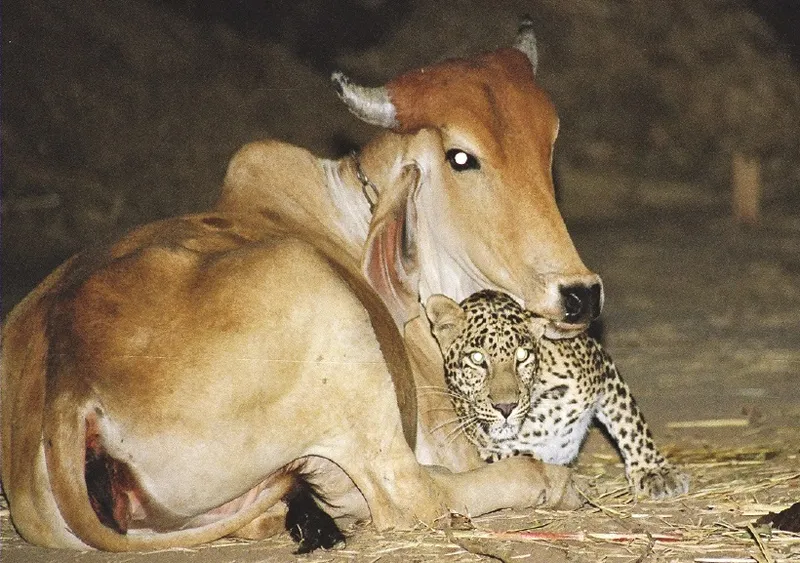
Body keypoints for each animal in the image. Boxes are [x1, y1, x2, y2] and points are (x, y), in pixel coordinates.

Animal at [0, 19, 600, 551]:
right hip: (330, 318)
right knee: (410, 496)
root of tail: (68, 389)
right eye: (461, 157)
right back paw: (553, 483)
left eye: (549, 142)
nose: (580, 293)